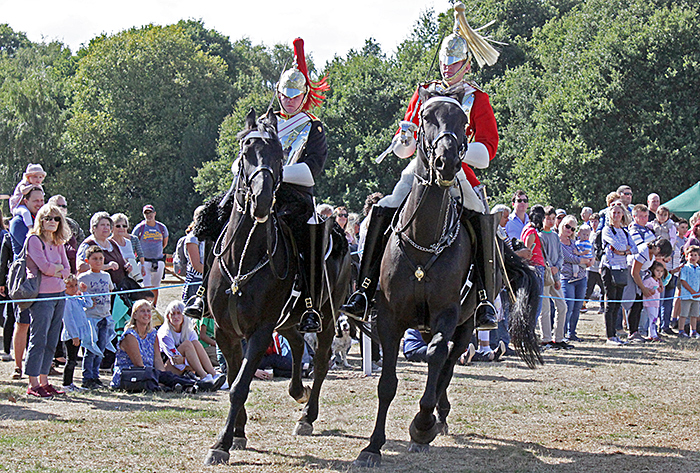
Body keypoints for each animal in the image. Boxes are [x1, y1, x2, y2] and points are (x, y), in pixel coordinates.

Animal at [205, 108, 352, 464]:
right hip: (288, 320)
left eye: (278, 155)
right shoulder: (226, 332)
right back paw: (298, 391)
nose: (261, 200)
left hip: (327, 318)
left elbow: (239, 386)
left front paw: (222, 443)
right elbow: (233, 378)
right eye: (246, 153)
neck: (244, 258)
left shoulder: (259, 332)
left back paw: (307, 416)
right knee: (298, 345)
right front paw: (238, 432)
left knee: (321, 361)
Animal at [356, 87, 540, 464]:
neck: (424, 239)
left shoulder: (447, 315)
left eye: (462, 121)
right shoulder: (390, 320)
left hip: (466, 324)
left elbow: (438, 359)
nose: (447, 162)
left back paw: (436, 417)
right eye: (426, 117)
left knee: (448, 362)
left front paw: (422, 425)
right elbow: (387, 384)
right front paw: (373, 446)